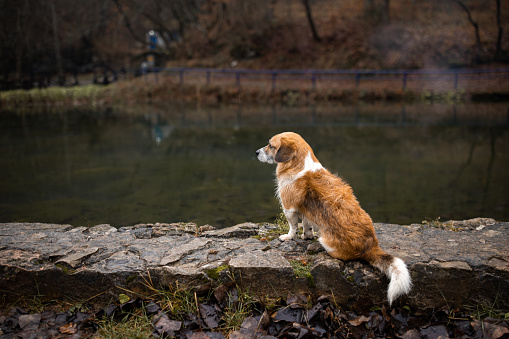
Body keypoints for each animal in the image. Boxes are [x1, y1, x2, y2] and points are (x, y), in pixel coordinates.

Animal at [256, 132, 410, 306]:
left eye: (271, 145)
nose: (256, 152)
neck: (299, 164)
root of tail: (371, 246)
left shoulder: (289, 208)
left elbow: (293, 226)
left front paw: (288, 237)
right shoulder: (306, 212)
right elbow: (307, 224)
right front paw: (307, 235)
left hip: (327, 241)